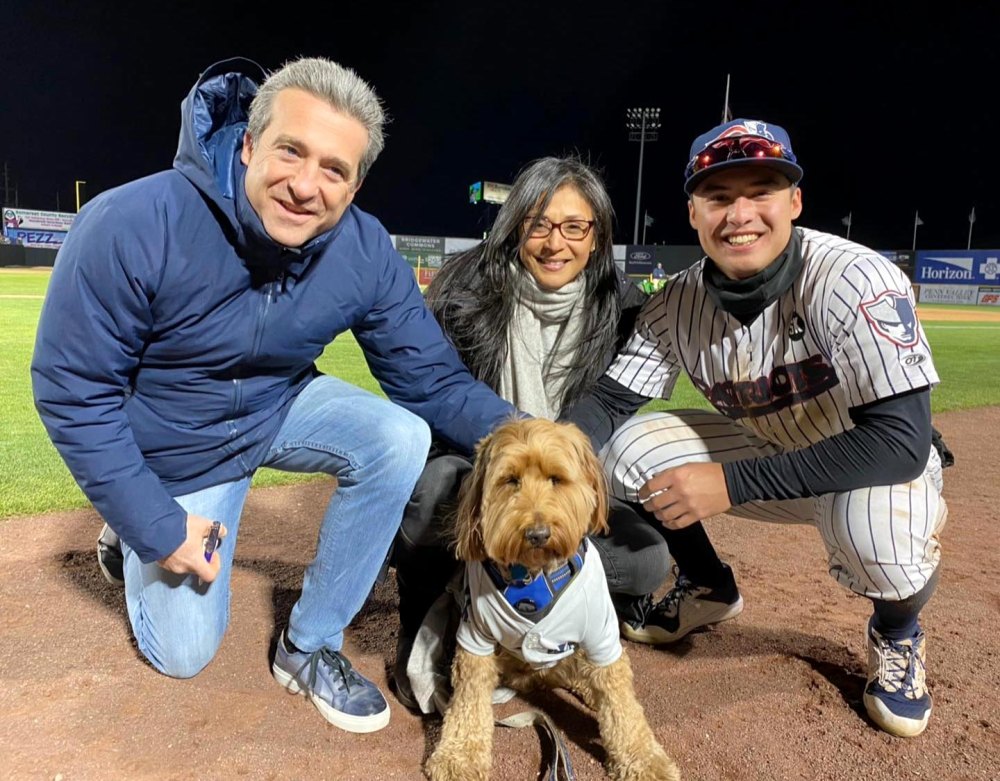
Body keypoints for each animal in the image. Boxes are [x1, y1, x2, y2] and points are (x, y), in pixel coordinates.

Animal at [424, 420, 680, 780]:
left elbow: (622, 704)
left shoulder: (602, 636)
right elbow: (467, 702)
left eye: (556, 479)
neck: (533, 577)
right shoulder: (475, 638)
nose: (537, 534)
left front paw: (643, 759)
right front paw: (458, 755)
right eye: (511, 480)